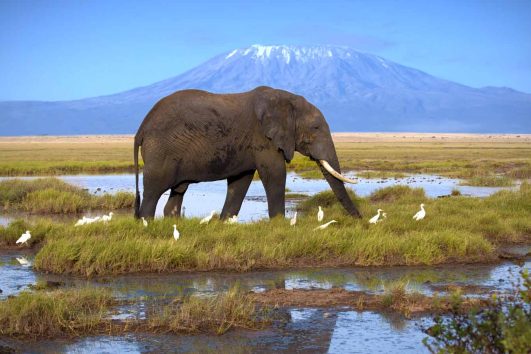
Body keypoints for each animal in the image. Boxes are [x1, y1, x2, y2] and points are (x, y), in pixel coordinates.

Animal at [135, 86, 364, 218]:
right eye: (316, 128)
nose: (360, 220)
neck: (286, 99)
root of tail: (142, 127)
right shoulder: (262, 138)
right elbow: (274, 173)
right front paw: (279, 224)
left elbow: (240, 182)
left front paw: (225, 223)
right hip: (161, 150)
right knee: (153, 190)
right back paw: (147, 224)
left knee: (178, 191)